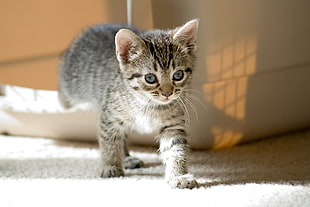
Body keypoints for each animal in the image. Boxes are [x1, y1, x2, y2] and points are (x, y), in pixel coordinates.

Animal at [57, 19, 199, 189]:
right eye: (150, 78)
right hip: (70, 89)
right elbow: (110, 143)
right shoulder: (109, 116)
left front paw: (179, 175)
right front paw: (110, 165)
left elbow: (175, 149)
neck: (150, 104)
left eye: (178, 75)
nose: (167, 93)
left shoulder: (172, 125)